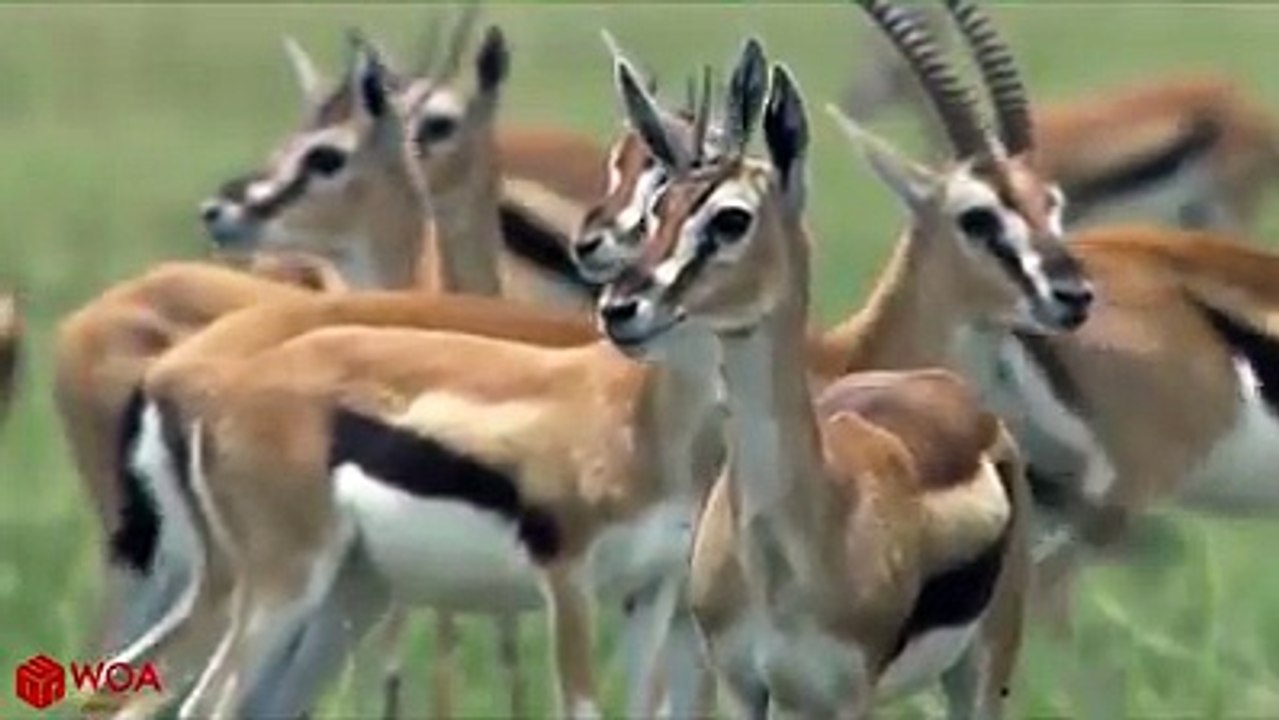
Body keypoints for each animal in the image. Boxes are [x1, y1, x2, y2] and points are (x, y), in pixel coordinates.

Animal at [595, 40, 1036, 717]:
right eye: (657, 210)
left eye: (731, 219)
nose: (620, 308)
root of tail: (941, 384)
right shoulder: (744, 686)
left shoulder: (846, 696)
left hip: (984, 666)